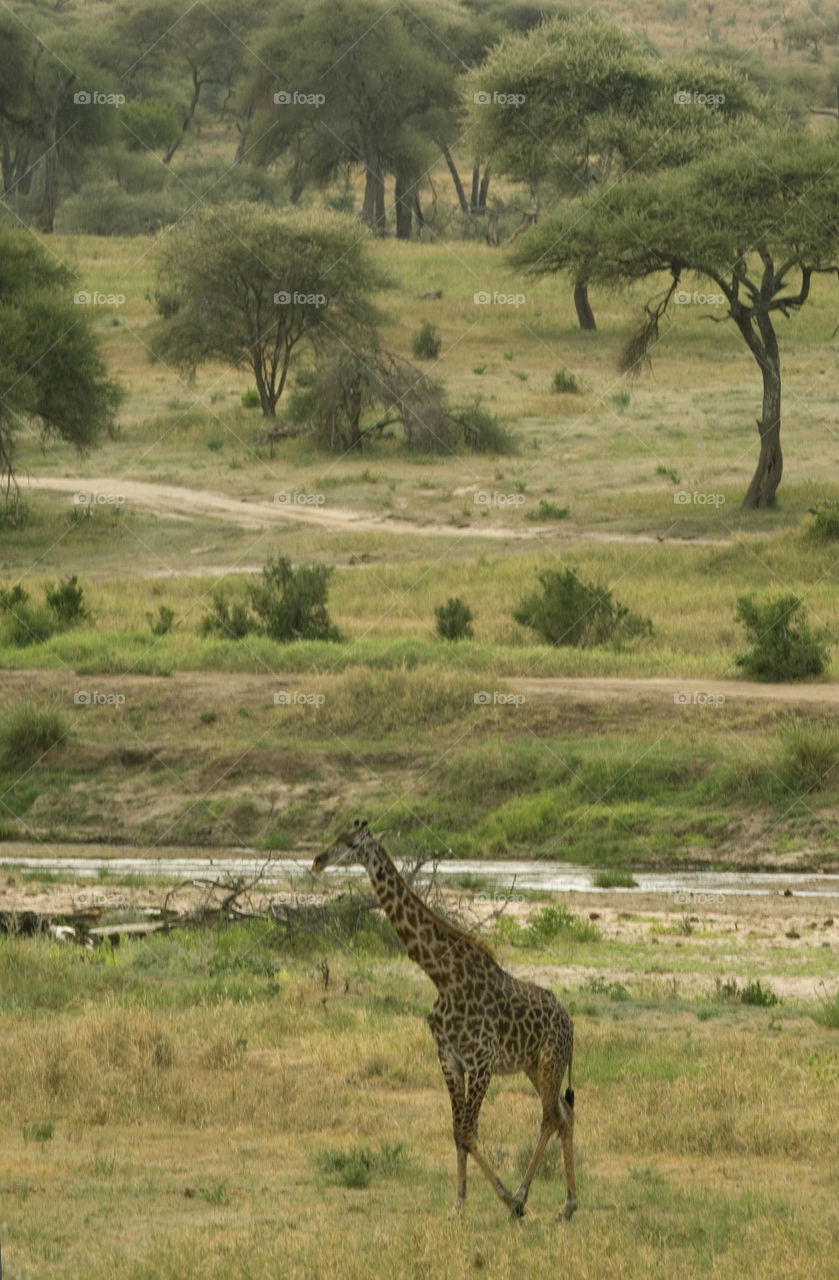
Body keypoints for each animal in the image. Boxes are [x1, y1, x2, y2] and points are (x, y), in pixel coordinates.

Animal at [311, 819, 581, 1218]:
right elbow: (457, 1131)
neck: (441, 974)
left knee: (550, 1116)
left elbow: (469, 1131)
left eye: (353, 843)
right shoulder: (450, 1059)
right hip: (534, 1066)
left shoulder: (481, 1061)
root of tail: (570, 1024)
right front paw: (459, 1203)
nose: (318, 860)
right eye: (337, 836)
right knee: (563, 1114)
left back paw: (526, 1197)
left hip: (550, 1062)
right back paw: (566, 1204)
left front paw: (504, 1199)